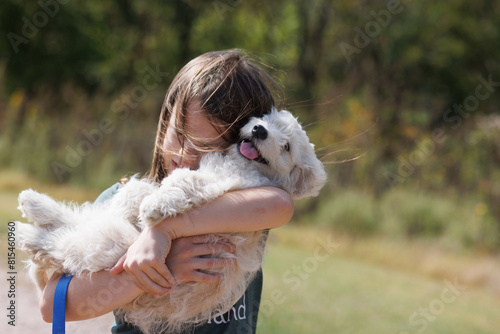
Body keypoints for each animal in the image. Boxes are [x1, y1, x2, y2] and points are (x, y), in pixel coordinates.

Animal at [15, 108, 326, 332]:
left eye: (286, 147)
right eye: (267, 119)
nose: (260, 130)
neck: (243, 164)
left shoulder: (222, 184)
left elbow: (183, 182)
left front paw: (155, 207)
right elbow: (143, 191)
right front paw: (144, 204)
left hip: (106, 244)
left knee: (64, 243)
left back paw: (28, 233)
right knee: (86, 217)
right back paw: (35, 204)